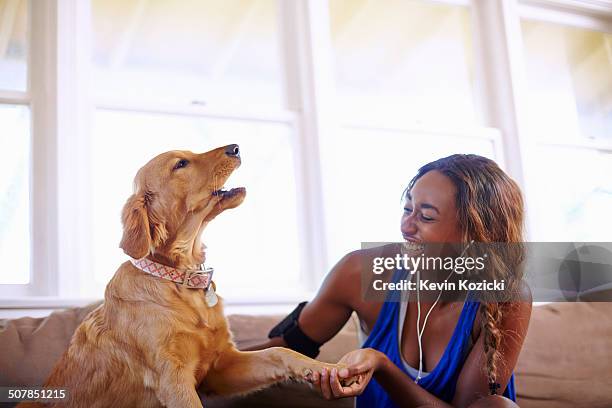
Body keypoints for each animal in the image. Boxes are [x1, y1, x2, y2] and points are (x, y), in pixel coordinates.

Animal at [20, 145, 344, 406]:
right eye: (181, 164)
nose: (236, 148)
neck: (180, 277)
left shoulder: (221, 368)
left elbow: (279, 352)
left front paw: (326, 369)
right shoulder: (172, 379)